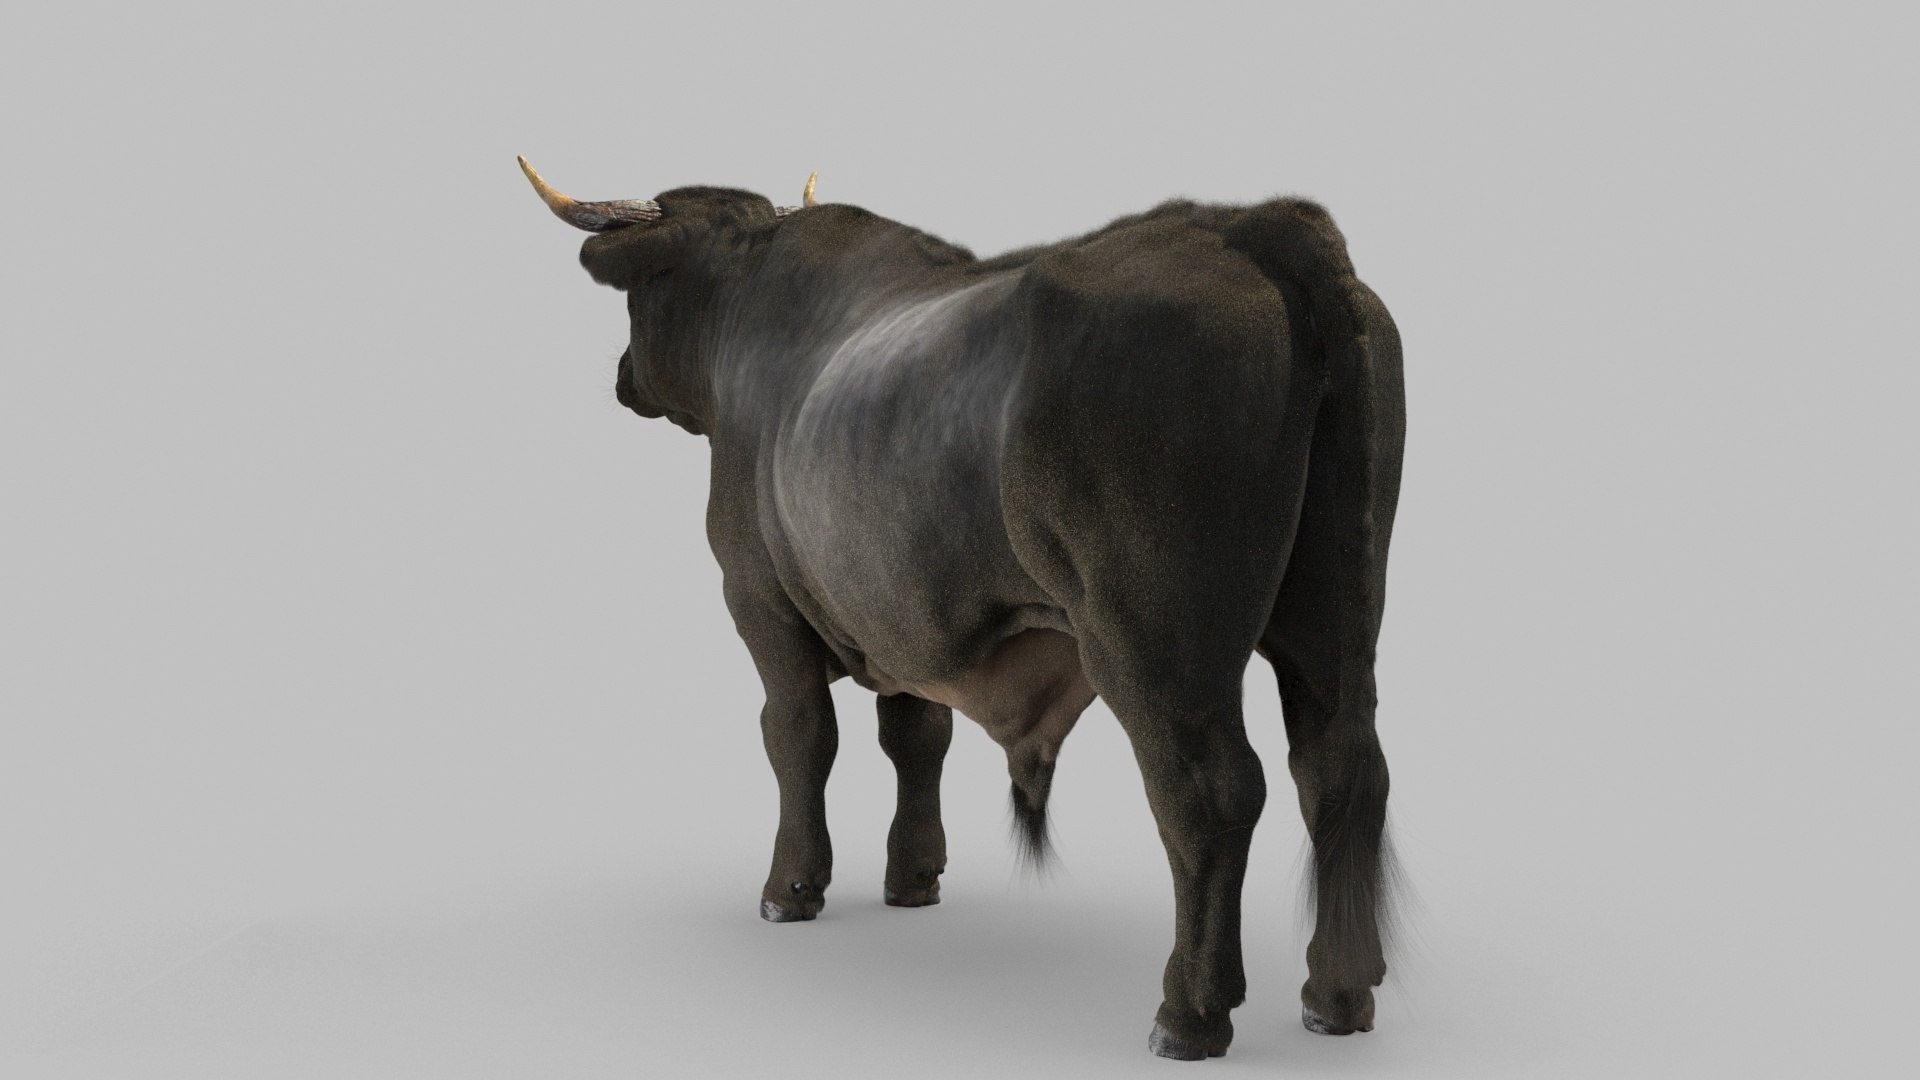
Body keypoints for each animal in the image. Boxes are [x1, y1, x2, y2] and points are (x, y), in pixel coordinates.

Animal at [518, 157, 1406, 1061]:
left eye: (646, 291)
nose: (623, 375)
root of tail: (1248, 227)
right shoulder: (905, 619)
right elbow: (917, 737)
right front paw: (913, 875)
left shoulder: (760, 602)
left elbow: (797, 737)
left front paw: (790, 886)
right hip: (1334, 618)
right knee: (1342, 770)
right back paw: (1337, 993)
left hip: (1157, 644)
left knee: (1211, 793)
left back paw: (1189, 1012)